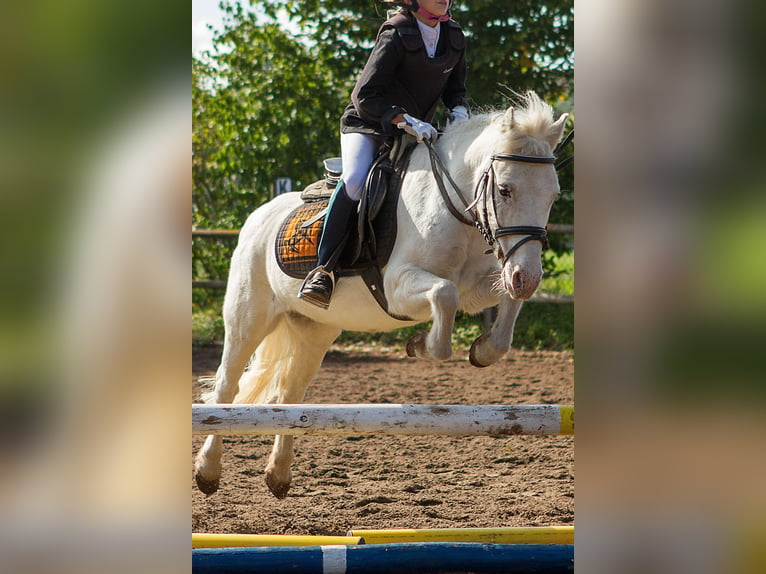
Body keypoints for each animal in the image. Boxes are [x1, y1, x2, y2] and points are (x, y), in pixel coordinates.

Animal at [195, 92, 568, 498]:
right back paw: (208, 471)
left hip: (313, 329)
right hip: (249, 319)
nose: (528, 277)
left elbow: (502, 308)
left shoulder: (484, 283)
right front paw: (420, 345)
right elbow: (445, 295)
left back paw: (278, 475)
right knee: (226, 387)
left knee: (289, 393)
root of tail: (259, 216)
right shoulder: (397, 286)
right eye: (505, 190)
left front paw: (482, 350)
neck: (453, 206)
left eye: (553, 195)